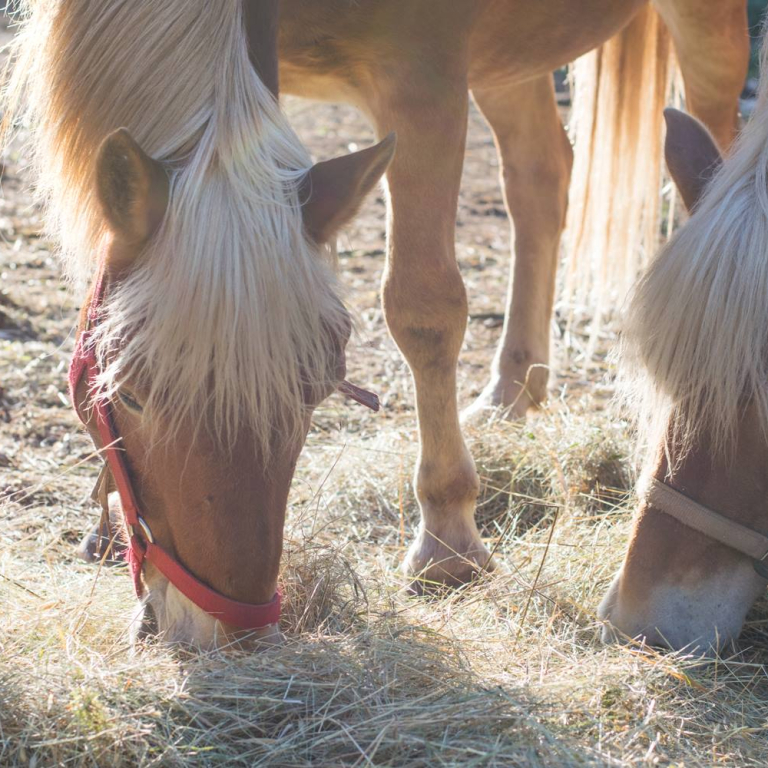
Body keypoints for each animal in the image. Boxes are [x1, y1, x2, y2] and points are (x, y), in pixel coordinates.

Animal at [4, 0, 748, 648]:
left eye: (315, 394)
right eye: (128, 395)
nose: (217, 634)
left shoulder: (423, 80)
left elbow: (423, 307)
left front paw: (448, 541)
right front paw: (105, 521)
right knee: (540, 175)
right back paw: (512, 390)